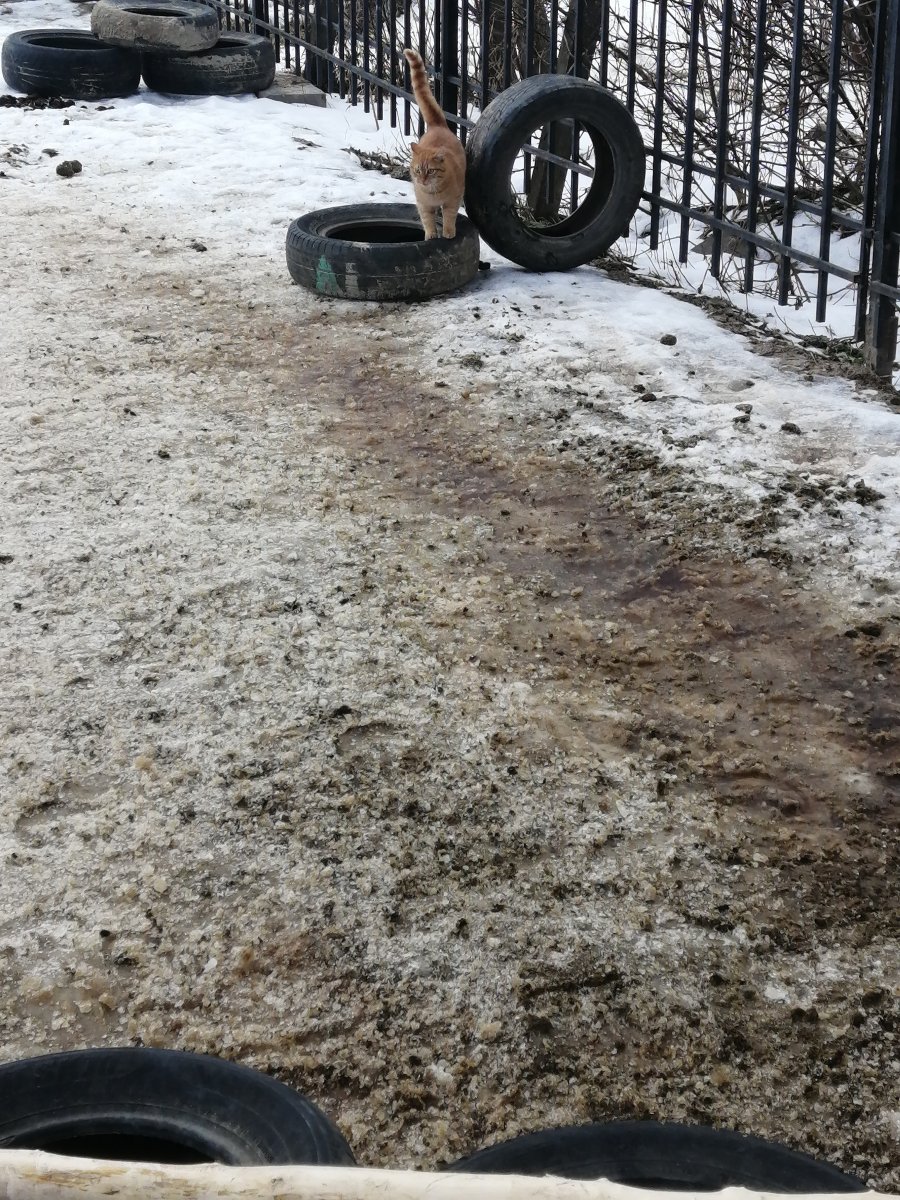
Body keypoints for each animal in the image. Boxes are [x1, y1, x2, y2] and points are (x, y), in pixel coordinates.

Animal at [403, 49, 467, 240]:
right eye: (418, 170)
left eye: (430, 171)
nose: (422, 180)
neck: (433, 192)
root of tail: (437, 125)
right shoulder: (423, 205)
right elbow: (427, 220)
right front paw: (431, 235)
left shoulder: (453, 200)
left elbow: (449, 216)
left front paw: (448, 232)